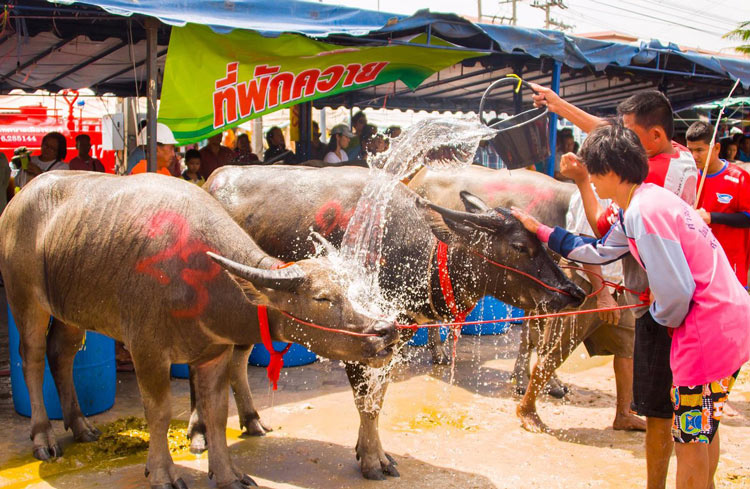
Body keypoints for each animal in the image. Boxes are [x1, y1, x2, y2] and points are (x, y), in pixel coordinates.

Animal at [0, 171, 402, 488]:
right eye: (322, 298)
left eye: (351, 285)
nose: (386, 329)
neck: (201, 280)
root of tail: (18, 202)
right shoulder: (146, 351)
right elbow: (159, 413)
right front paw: (162, 473)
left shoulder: (215, 353)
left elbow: (217, 414)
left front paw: (226, 475)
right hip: (25, 300)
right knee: (32, 358)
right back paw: (43, 437)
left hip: (70, 311)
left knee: (61, 354)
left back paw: (81, 426)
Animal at [204, 166, 588, 478]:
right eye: (521, 246)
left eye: (542, 241)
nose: (574, 292)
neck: (416, 255)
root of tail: (213, 180)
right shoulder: (357, 339)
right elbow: (366, 401)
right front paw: (373, 461)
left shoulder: (392, 338)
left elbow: (380, 397)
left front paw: (370, 451)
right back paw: (202, 434)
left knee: (237, 361)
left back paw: (251, 420)